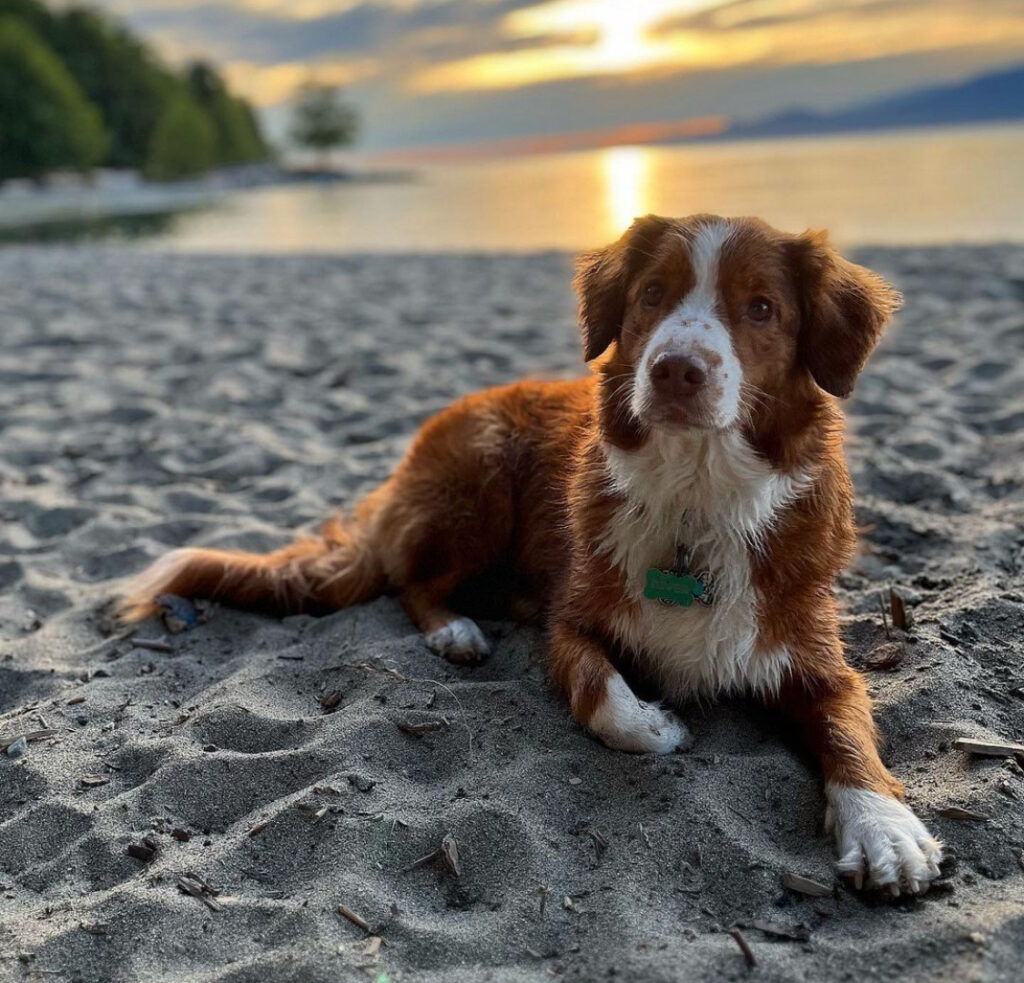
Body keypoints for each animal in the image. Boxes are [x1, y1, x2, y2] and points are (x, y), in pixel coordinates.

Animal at [119, 215, 942, 896]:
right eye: (651, 294)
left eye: (762, 307)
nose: (676, 368)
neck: (694, 496)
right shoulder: (572, 622)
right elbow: (606, 699)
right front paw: (660, 725)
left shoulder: (814, 655)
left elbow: (850, 735)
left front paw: (886, 830)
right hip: (480, 478)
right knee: (412, 581)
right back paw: (456, 630)